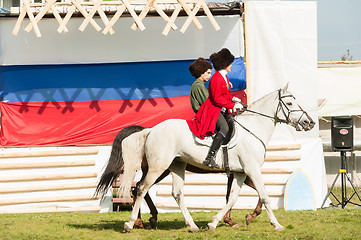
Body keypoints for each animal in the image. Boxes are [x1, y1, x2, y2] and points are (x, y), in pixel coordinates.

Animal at [119, 83, 314, 232]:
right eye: (289, 102)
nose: (309, 122)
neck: (252, 128)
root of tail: (151, 129)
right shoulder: (252, 170)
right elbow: (264, 196)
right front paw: (276, 224)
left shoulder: (240, 173)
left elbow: (232, 198)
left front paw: (214, 222)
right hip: (158, 167)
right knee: (141, 188)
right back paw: (131, 223)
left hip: (176, 166)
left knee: (176, 194)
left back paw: (191, 226)